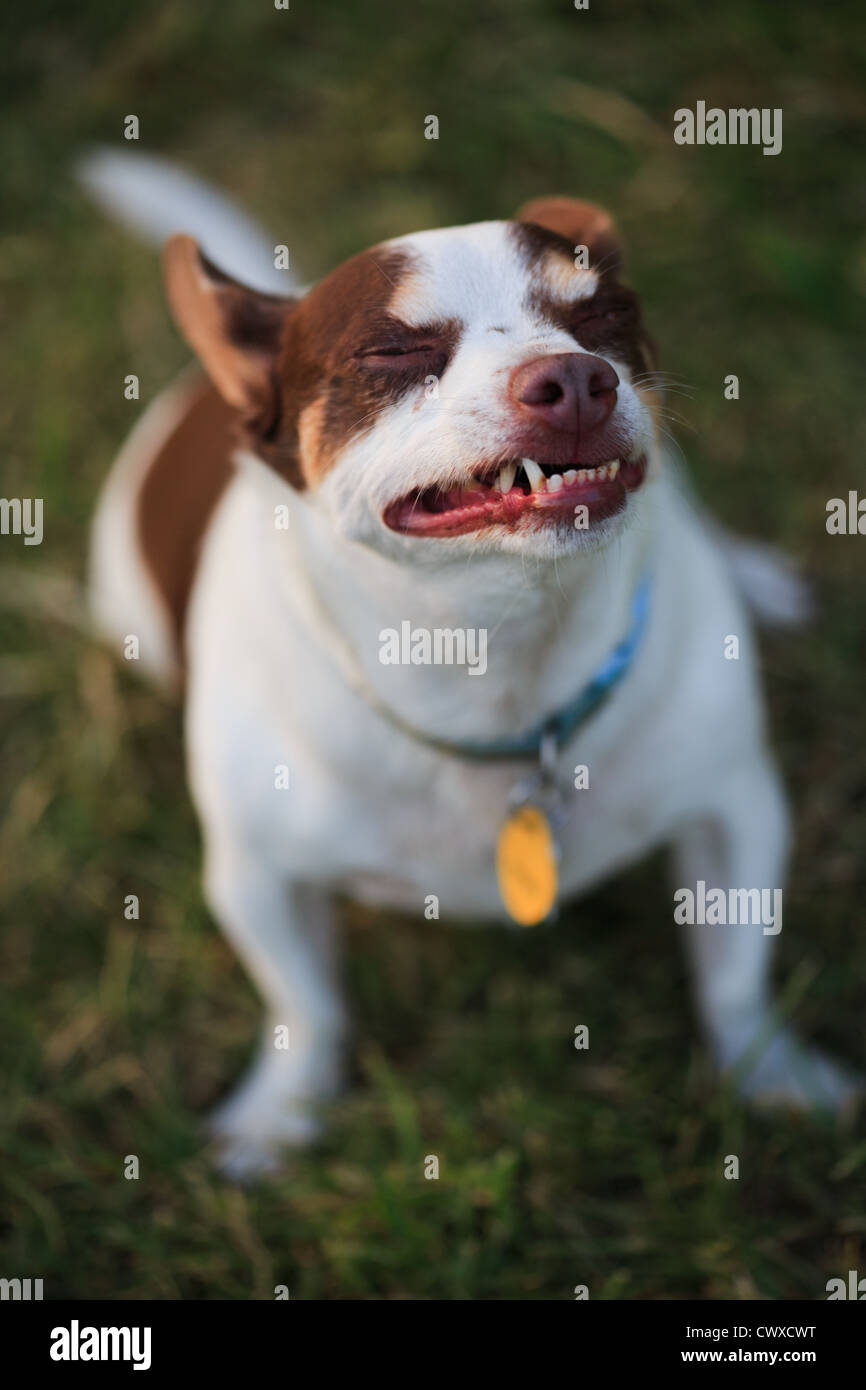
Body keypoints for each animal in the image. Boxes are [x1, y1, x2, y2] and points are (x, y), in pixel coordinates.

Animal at [84, 149, 856, 1173]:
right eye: (391, 354)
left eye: (606, 315)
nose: (576, 377)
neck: (494, 646)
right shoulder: (256, 877)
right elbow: (304, 1006)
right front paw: (281, 1114)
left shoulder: (736, 810)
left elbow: (736, 978)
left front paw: (772, 1076)